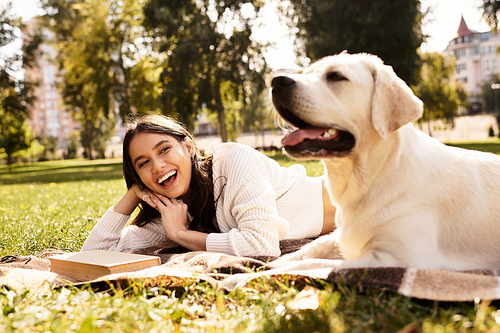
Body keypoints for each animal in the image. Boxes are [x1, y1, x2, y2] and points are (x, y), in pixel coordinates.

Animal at [266, 51, 500, 272]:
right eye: (305, 73)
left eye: (336, 76)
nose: (276, 81)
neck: (376, 177)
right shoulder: (341, 237)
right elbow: (311, 247)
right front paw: (275, 263)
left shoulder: (397, 259)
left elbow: (313, 264)